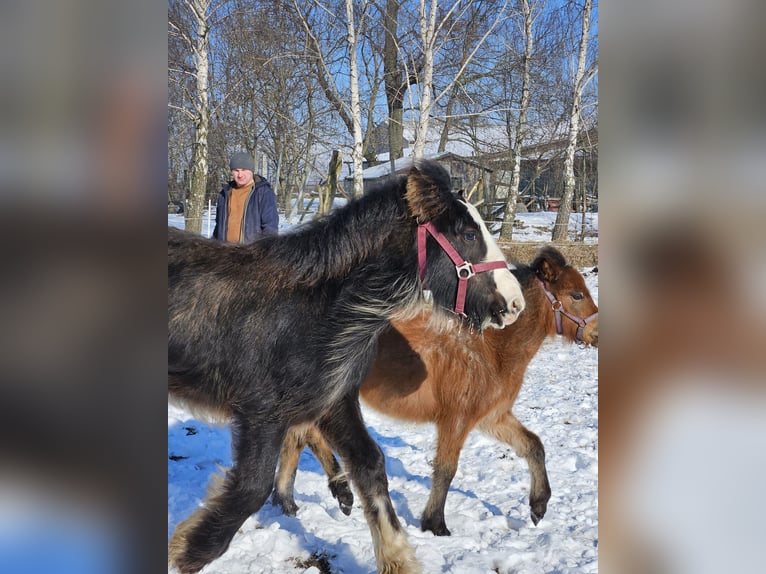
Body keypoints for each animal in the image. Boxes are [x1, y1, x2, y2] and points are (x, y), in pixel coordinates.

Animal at [170, 160, 528, 572]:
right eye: (468, 233)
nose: (515, 304)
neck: (314, 313)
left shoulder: (334, 399)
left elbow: (371, 465)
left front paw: (397, 556)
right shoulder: (261, 413)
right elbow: (249, 488)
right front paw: (183, 551)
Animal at [274, 245, 600, 536]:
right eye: (577, 295)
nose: (597, 333)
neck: (490, 351)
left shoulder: (492, 418)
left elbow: (534, 445)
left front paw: (538, 507)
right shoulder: (456, 420)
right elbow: (446, 469)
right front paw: (435, 525)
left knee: (298, 436)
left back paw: (295, 500)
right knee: (304, 435)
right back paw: (326, 494)